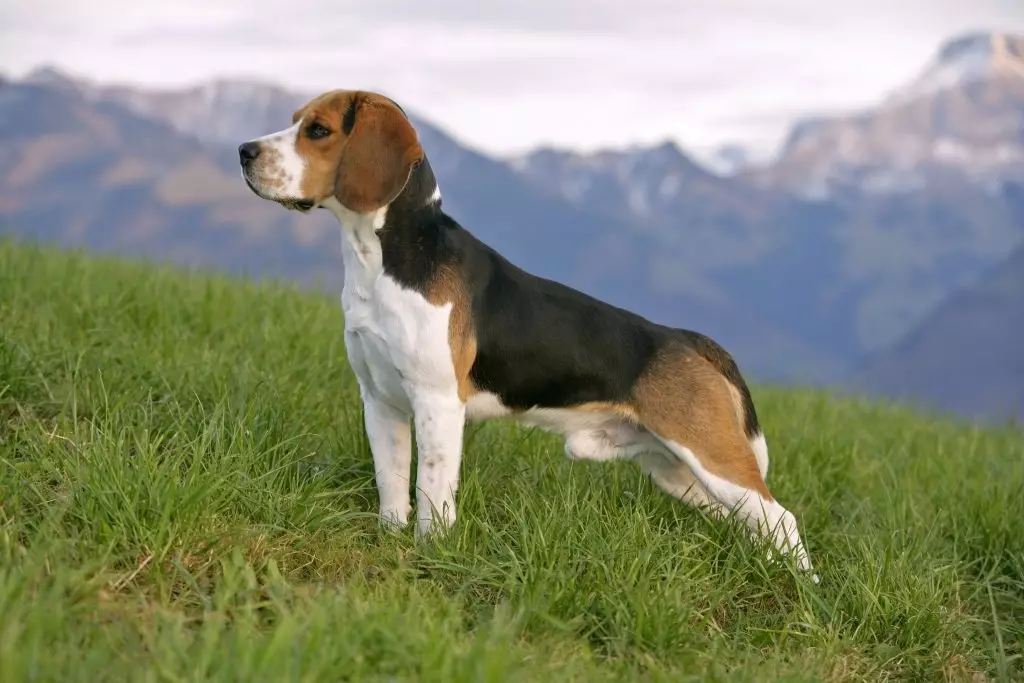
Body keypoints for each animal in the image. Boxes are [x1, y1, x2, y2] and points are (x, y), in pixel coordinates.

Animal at [237, 89, 815, 581]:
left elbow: (432, 489)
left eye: (318, 130)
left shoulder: (438, 403)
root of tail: (688, 339)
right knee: (756, 524)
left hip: (711, 456)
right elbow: (392, 485)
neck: (382, 258)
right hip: (676, 472)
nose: (243, 151)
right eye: (294, 121)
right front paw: (390, 542)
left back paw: (803, 591)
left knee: (781, 519)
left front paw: (432, 555)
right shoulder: (380, 401)